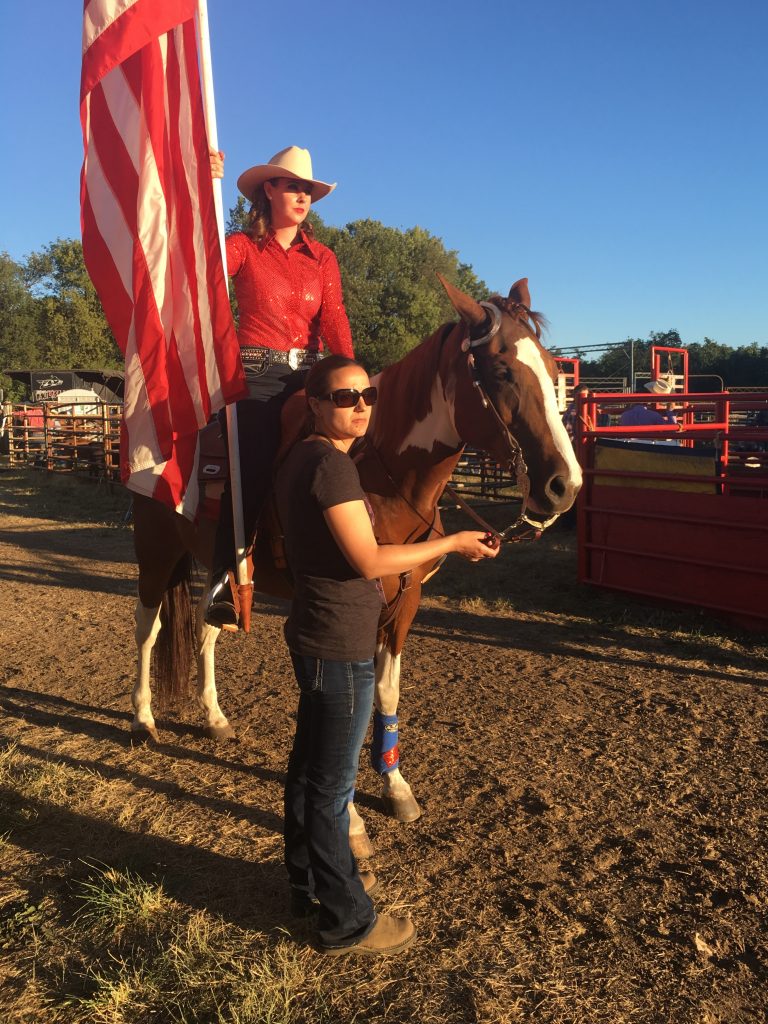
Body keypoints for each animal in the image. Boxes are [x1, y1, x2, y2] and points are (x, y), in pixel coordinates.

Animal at [129, 280, 581, 847]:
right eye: (501, 371)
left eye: (553, 365)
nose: (565, 486)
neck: (381, 474)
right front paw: (349, 817)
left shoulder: (404, 601)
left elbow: (384, 691)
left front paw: (394, 786)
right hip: (155, 550)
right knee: (148, 629)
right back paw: (142, 720)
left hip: (222, 571)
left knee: (205, 628)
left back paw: (213, 717)